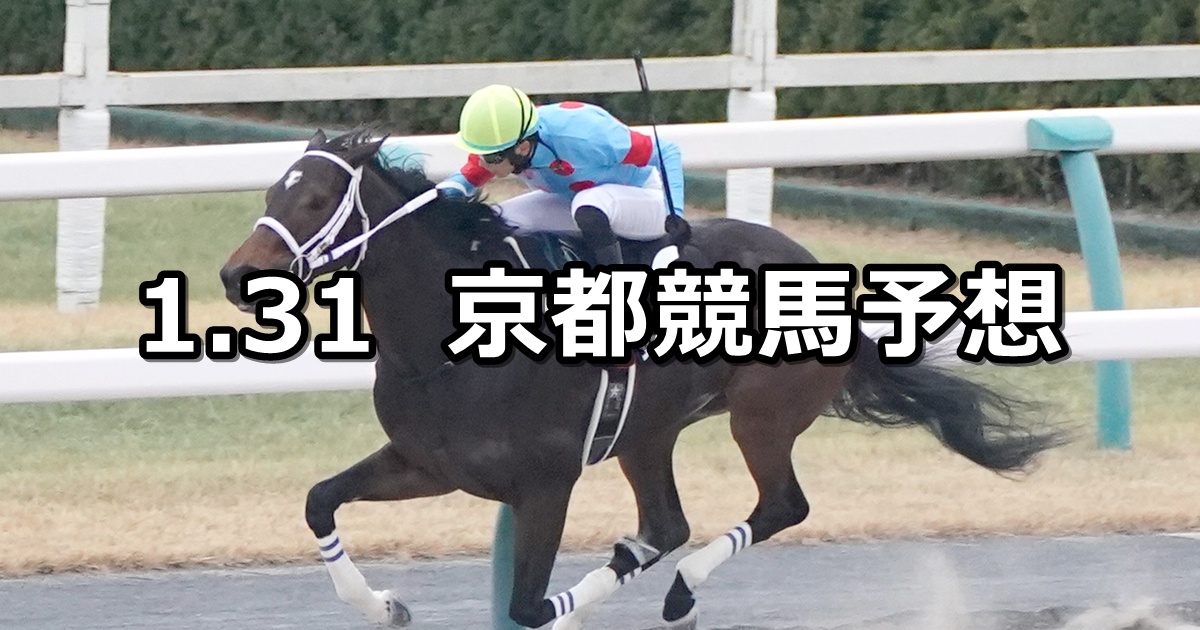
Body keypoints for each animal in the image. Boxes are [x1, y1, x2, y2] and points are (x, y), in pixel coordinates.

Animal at [219, 128, 1067, 630]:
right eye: (270, 192)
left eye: (316, 198)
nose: (234, 276)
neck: (448, 345)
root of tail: (820, 270)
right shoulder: (429, 464)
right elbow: (319, 501)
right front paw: (385, 604)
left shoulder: (545, 483)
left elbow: (529, 607)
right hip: (647, 430)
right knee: (665, 525)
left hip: (759, 415)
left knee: (779, 506)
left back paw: (683, 589)